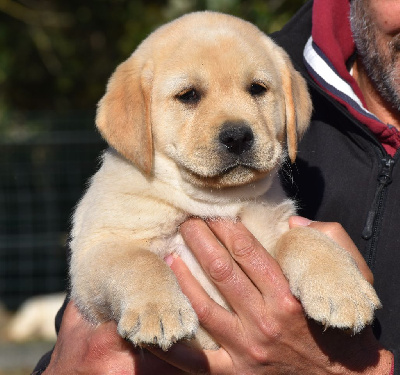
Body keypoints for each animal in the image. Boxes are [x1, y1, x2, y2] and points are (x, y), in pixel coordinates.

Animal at [69, 12, 382, 352]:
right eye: (189, 95)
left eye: (257, 89)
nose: (237, 136)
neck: (217, 200)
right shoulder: (100, 249)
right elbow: (140, 262)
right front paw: (159, 312)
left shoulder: (271, 232)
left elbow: (303, 238)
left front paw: (343, 290)